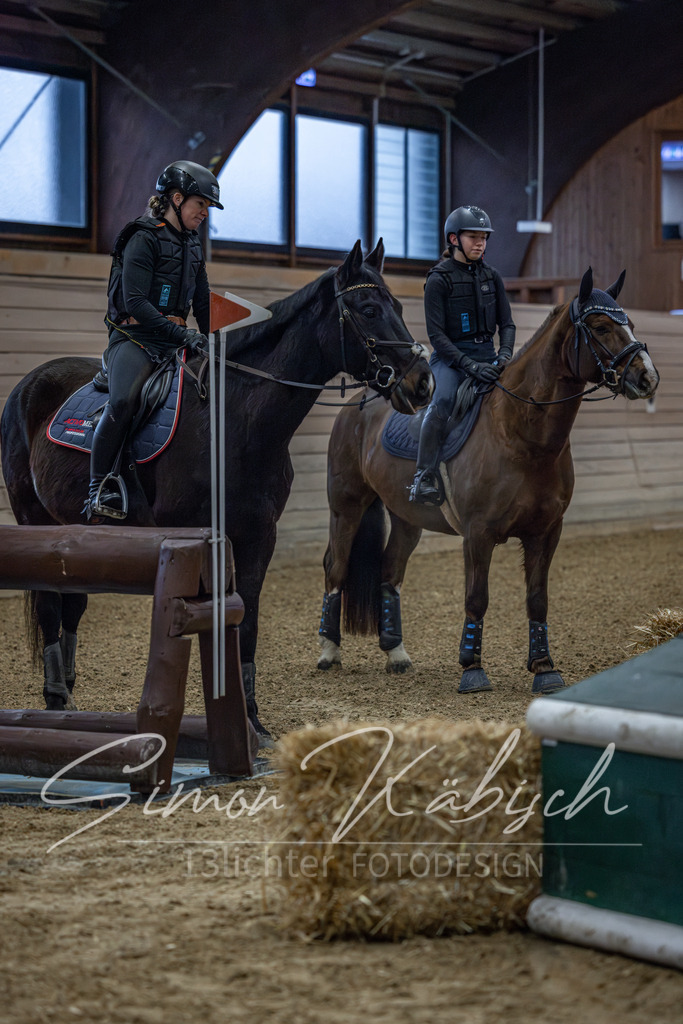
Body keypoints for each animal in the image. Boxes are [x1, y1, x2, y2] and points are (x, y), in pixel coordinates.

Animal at [0, 239, 433, 740]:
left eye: (398, 306)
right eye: (368, 310)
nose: (422, 383)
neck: (233, 420)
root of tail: (29, 384)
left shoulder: (259, 536)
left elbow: (248, 621)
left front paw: (252, 720)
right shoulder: (193, 537)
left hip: (76, 526)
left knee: (72, 603)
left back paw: (68, 695)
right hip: (34, 517)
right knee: (50, 606)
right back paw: (55, 697)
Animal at [316, 267, 660, 695]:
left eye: (630, 324)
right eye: (600, 326)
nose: (648, 377)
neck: (521, 435)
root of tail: (358, 402)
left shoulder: (546, 532)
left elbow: (537, 598)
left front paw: (544, 668)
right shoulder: (478, 534)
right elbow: (477, 598)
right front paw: (472, 669)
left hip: (407, 518)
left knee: (390, 571)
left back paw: (396, 654)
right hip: (346, 505)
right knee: (336, 565)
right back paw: (329, 652)